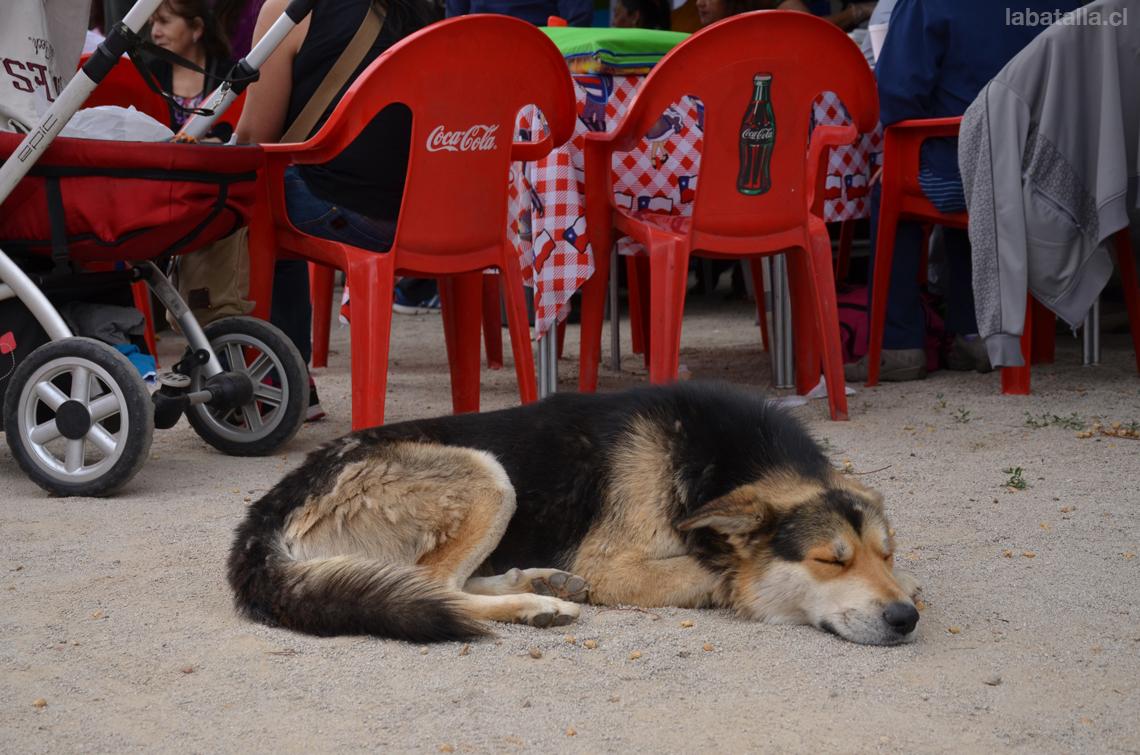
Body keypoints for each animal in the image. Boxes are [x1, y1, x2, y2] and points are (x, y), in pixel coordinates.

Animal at [226, 385, 921, 643]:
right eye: (829, 561)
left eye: (886, 554)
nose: (905, 619)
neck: (718, 459)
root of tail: (267, 511)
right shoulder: (614, 563)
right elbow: (723, 575)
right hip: (488, 475)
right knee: (430, 584)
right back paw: (537, 604)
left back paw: (541, 582)